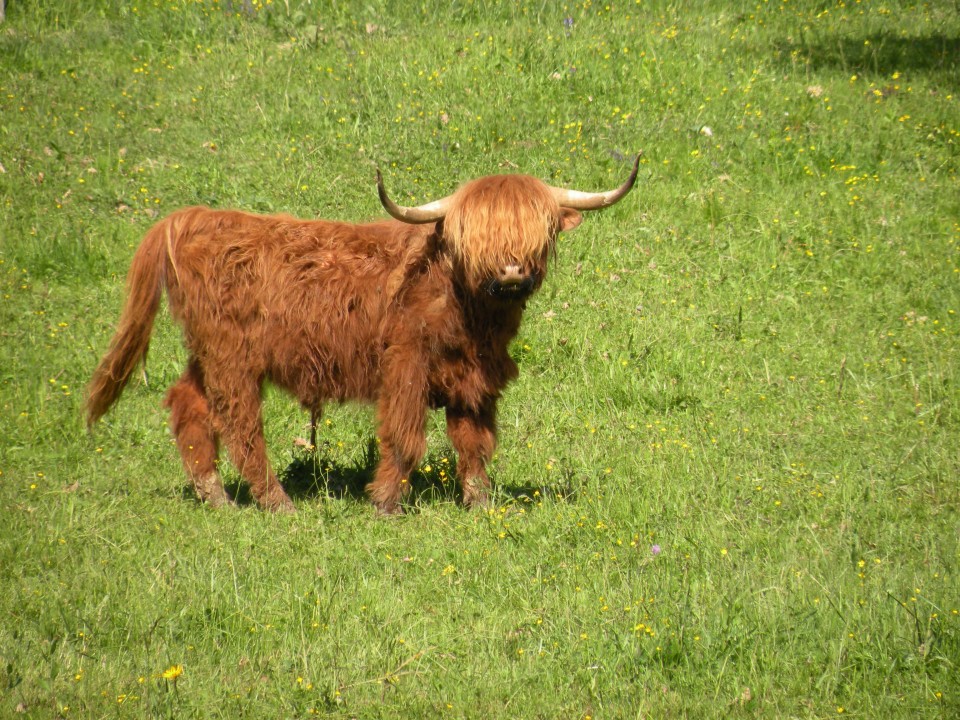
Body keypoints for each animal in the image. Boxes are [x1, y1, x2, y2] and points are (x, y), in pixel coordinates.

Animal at [84, 160, 636, 516]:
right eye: (472, 238)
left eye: (538, 233)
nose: (512, 273)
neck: (469, 312)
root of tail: (191, 219)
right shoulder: (405, 367)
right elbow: (404, 438)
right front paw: (386, 504)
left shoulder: (476, 378)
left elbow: (475, 441)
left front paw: (479, 503)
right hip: (231, 358)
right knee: (241, 427)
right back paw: (278, 504)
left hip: (208, 357)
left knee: (189, 407)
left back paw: (215, 498)